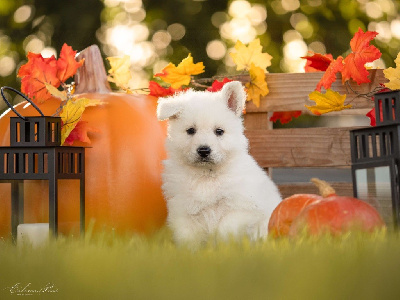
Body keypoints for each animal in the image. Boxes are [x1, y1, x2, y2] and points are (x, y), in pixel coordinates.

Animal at [156, 81, 282, 245]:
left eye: (219, 131)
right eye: (190, 130)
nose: (204, 150)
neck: (207, 175)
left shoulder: (243, 207)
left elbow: (225, 228)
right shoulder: (183, 210)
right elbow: (188, 238)